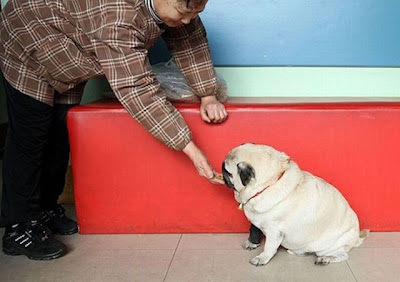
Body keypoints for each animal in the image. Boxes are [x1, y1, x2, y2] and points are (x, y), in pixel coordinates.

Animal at [223, 143, 368, 266]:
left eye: (228, 171)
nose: (222, 169)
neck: (270, 182)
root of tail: (356, 238)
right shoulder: (256, 220)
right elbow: (254, 230)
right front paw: (252, 243)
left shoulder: (274, 230)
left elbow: (269, 247)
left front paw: (262, 258)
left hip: (331, 246)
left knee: (342, 255)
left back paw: (325, 258)